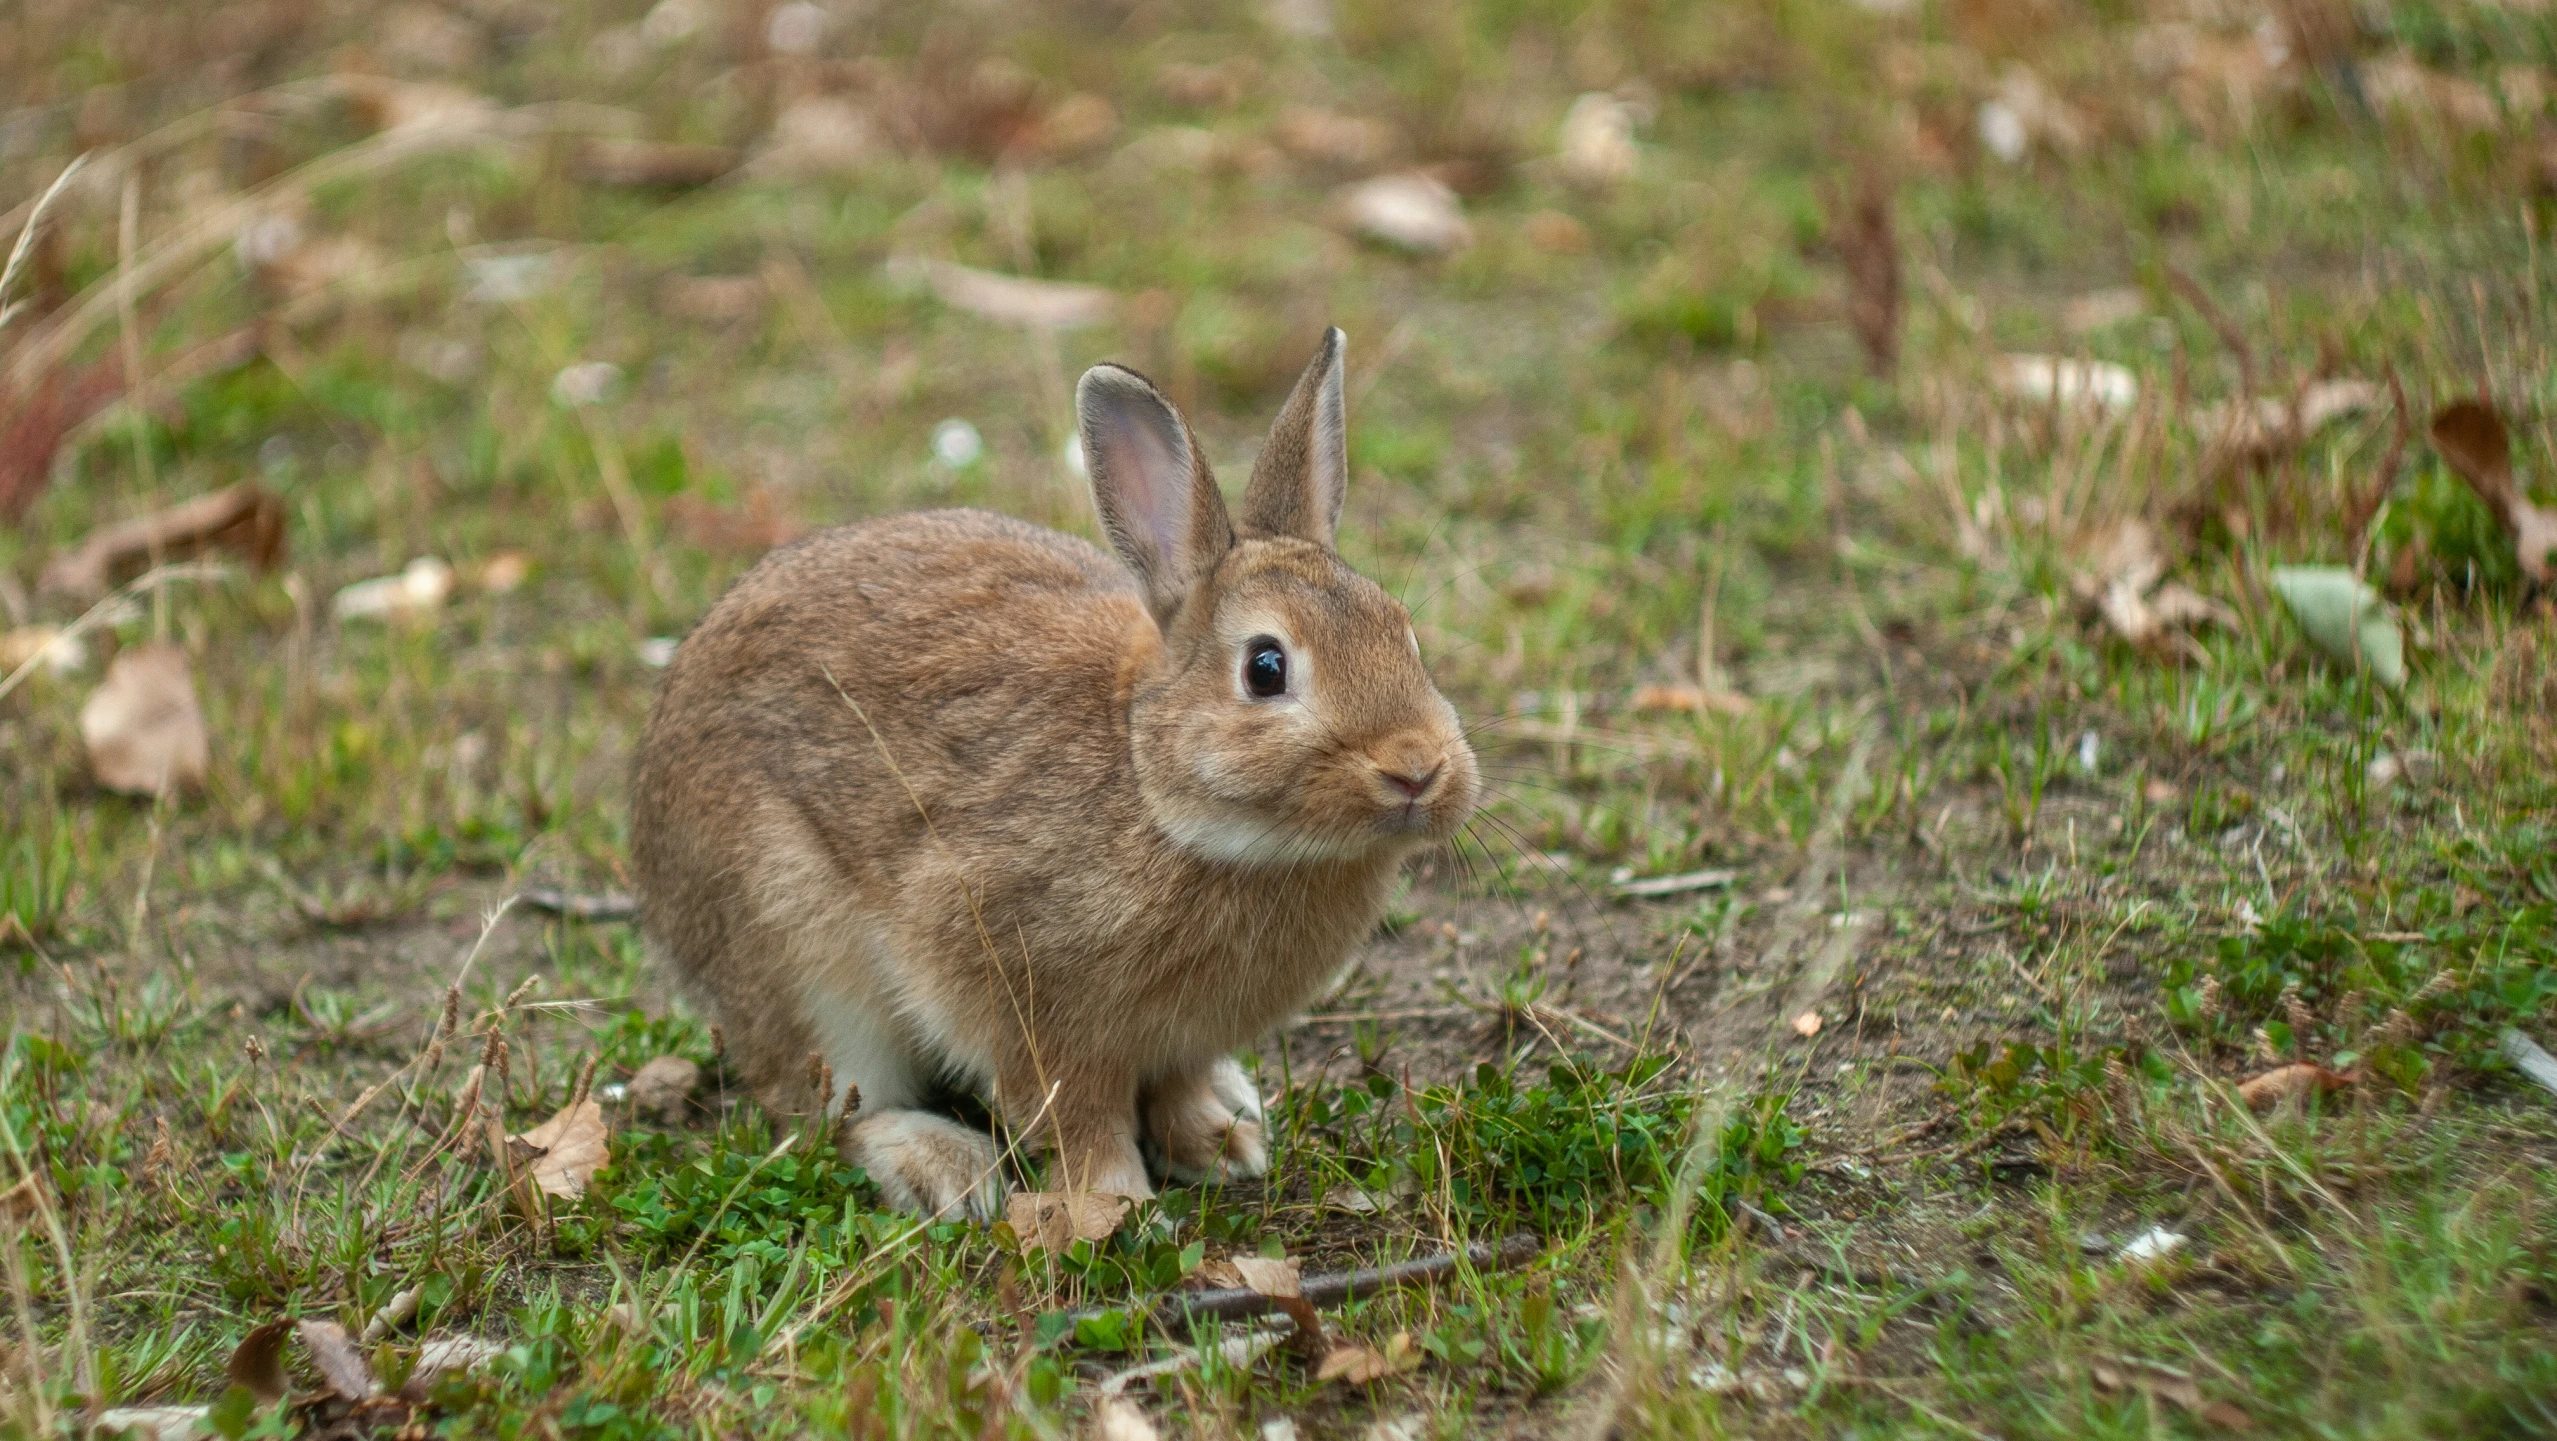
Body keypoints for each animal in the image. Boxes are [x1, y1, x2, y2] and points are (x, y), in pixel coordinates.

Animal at [623, 332, 1483, 1221]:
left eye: (1404, 634)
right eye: (1265, 668)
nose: (1417, 769)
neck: (1153, 785)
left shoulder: (1178, 1041)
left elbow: (1174, 1090)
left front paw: (1218, 1145)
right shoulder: (1027, 1000)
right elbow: (1078, 1116)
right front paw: (1116, 1206)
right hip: (798, 950)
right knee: (825, 1109)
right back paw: (945, 1166)